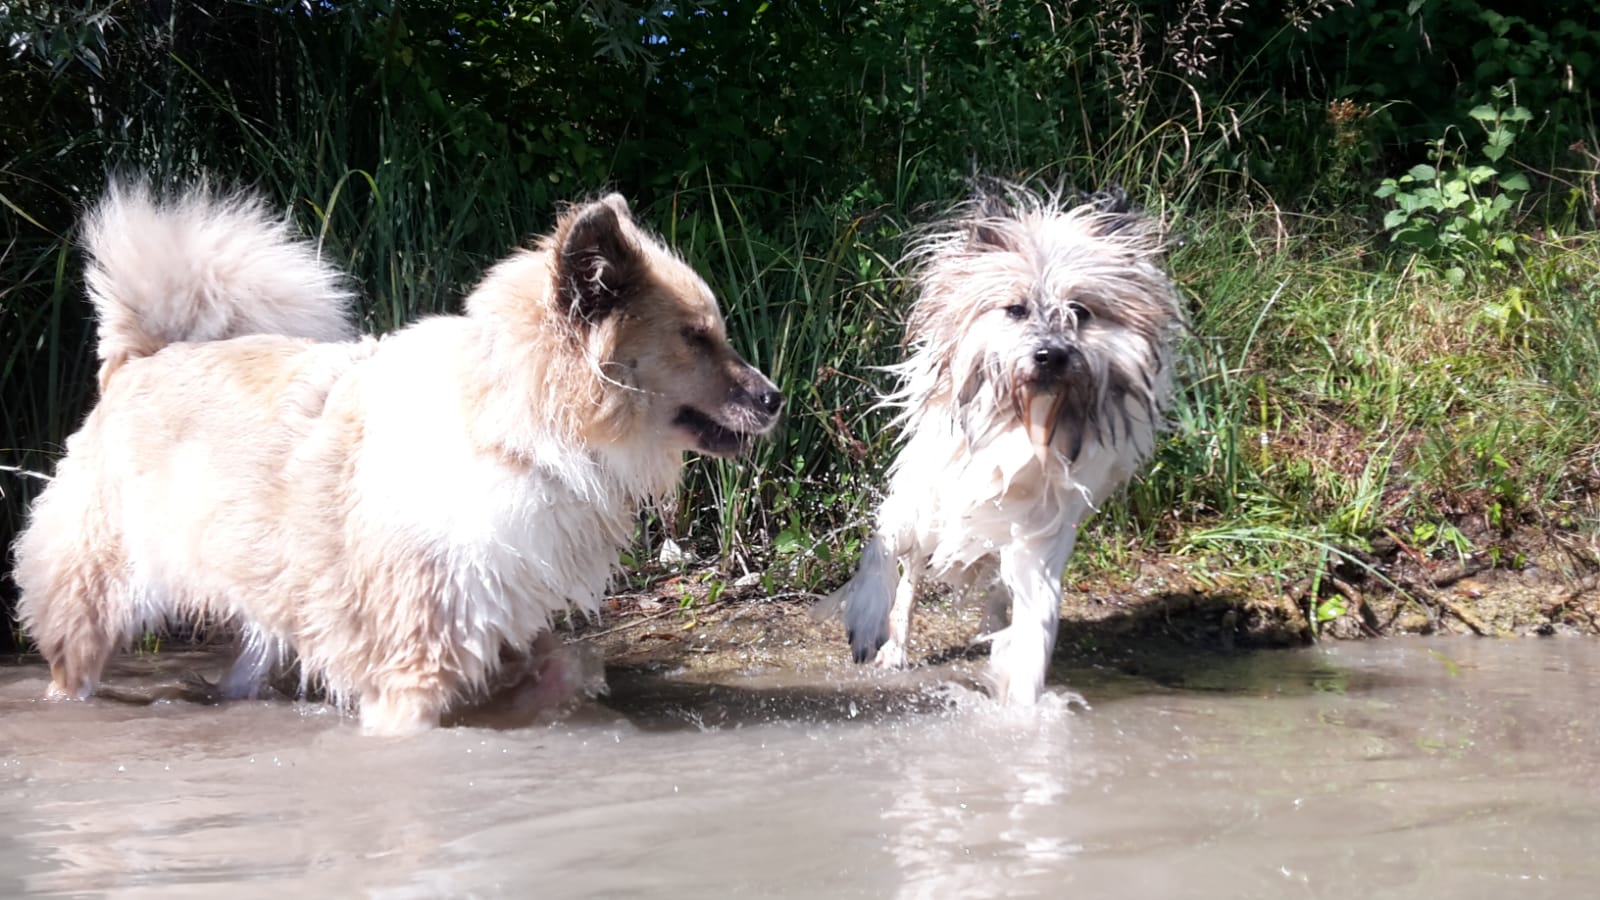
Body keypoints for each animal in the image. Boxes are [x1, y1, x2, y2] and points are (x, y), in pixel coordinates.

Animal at [12, 180, 780, 730]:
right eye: (694, 338)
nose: (775, 398)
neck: (518, 431)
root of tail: (138, 360)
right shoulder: (411, 668)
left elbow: (566, 666)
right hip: (92, 606)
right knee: (70, 673)